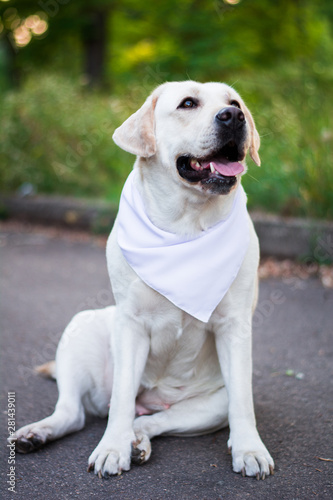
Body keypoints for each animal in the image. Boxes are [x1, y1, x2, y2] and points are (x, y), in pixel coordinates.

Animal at [9, 81, 274, 480]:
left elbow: (243, 402)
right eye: (188, 103)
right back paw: (38, 433)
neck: (185, 225)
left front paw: (250, 449)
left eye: (235, 103)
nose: (234, 117)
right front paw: (111, 448)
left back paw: (137, 439)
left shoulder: (235, 326)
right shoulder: (131, 324)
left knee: (152, 420)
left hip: (210, 404)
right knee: (74, 412)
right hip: (82, 329)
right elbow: (120, 399)